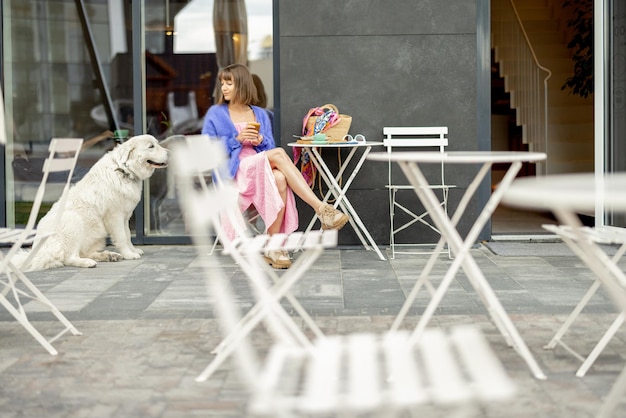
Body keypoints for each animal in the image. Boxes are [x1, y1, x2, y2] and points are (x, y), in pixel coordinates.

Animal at [20, 135, 169, 272]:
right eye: (151, 146)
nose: (169, 152)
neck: (124, 170)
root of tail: (39, 251)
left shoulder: (125, 217)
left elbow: (127, 236)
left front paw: (133, 250)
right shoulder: (115, 216)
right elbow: (122, 237)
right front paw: (129, 254)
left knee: (84, 252)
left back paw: (109, 256)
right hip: (73, 221)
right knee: (69, 258)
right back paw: (89, 262)